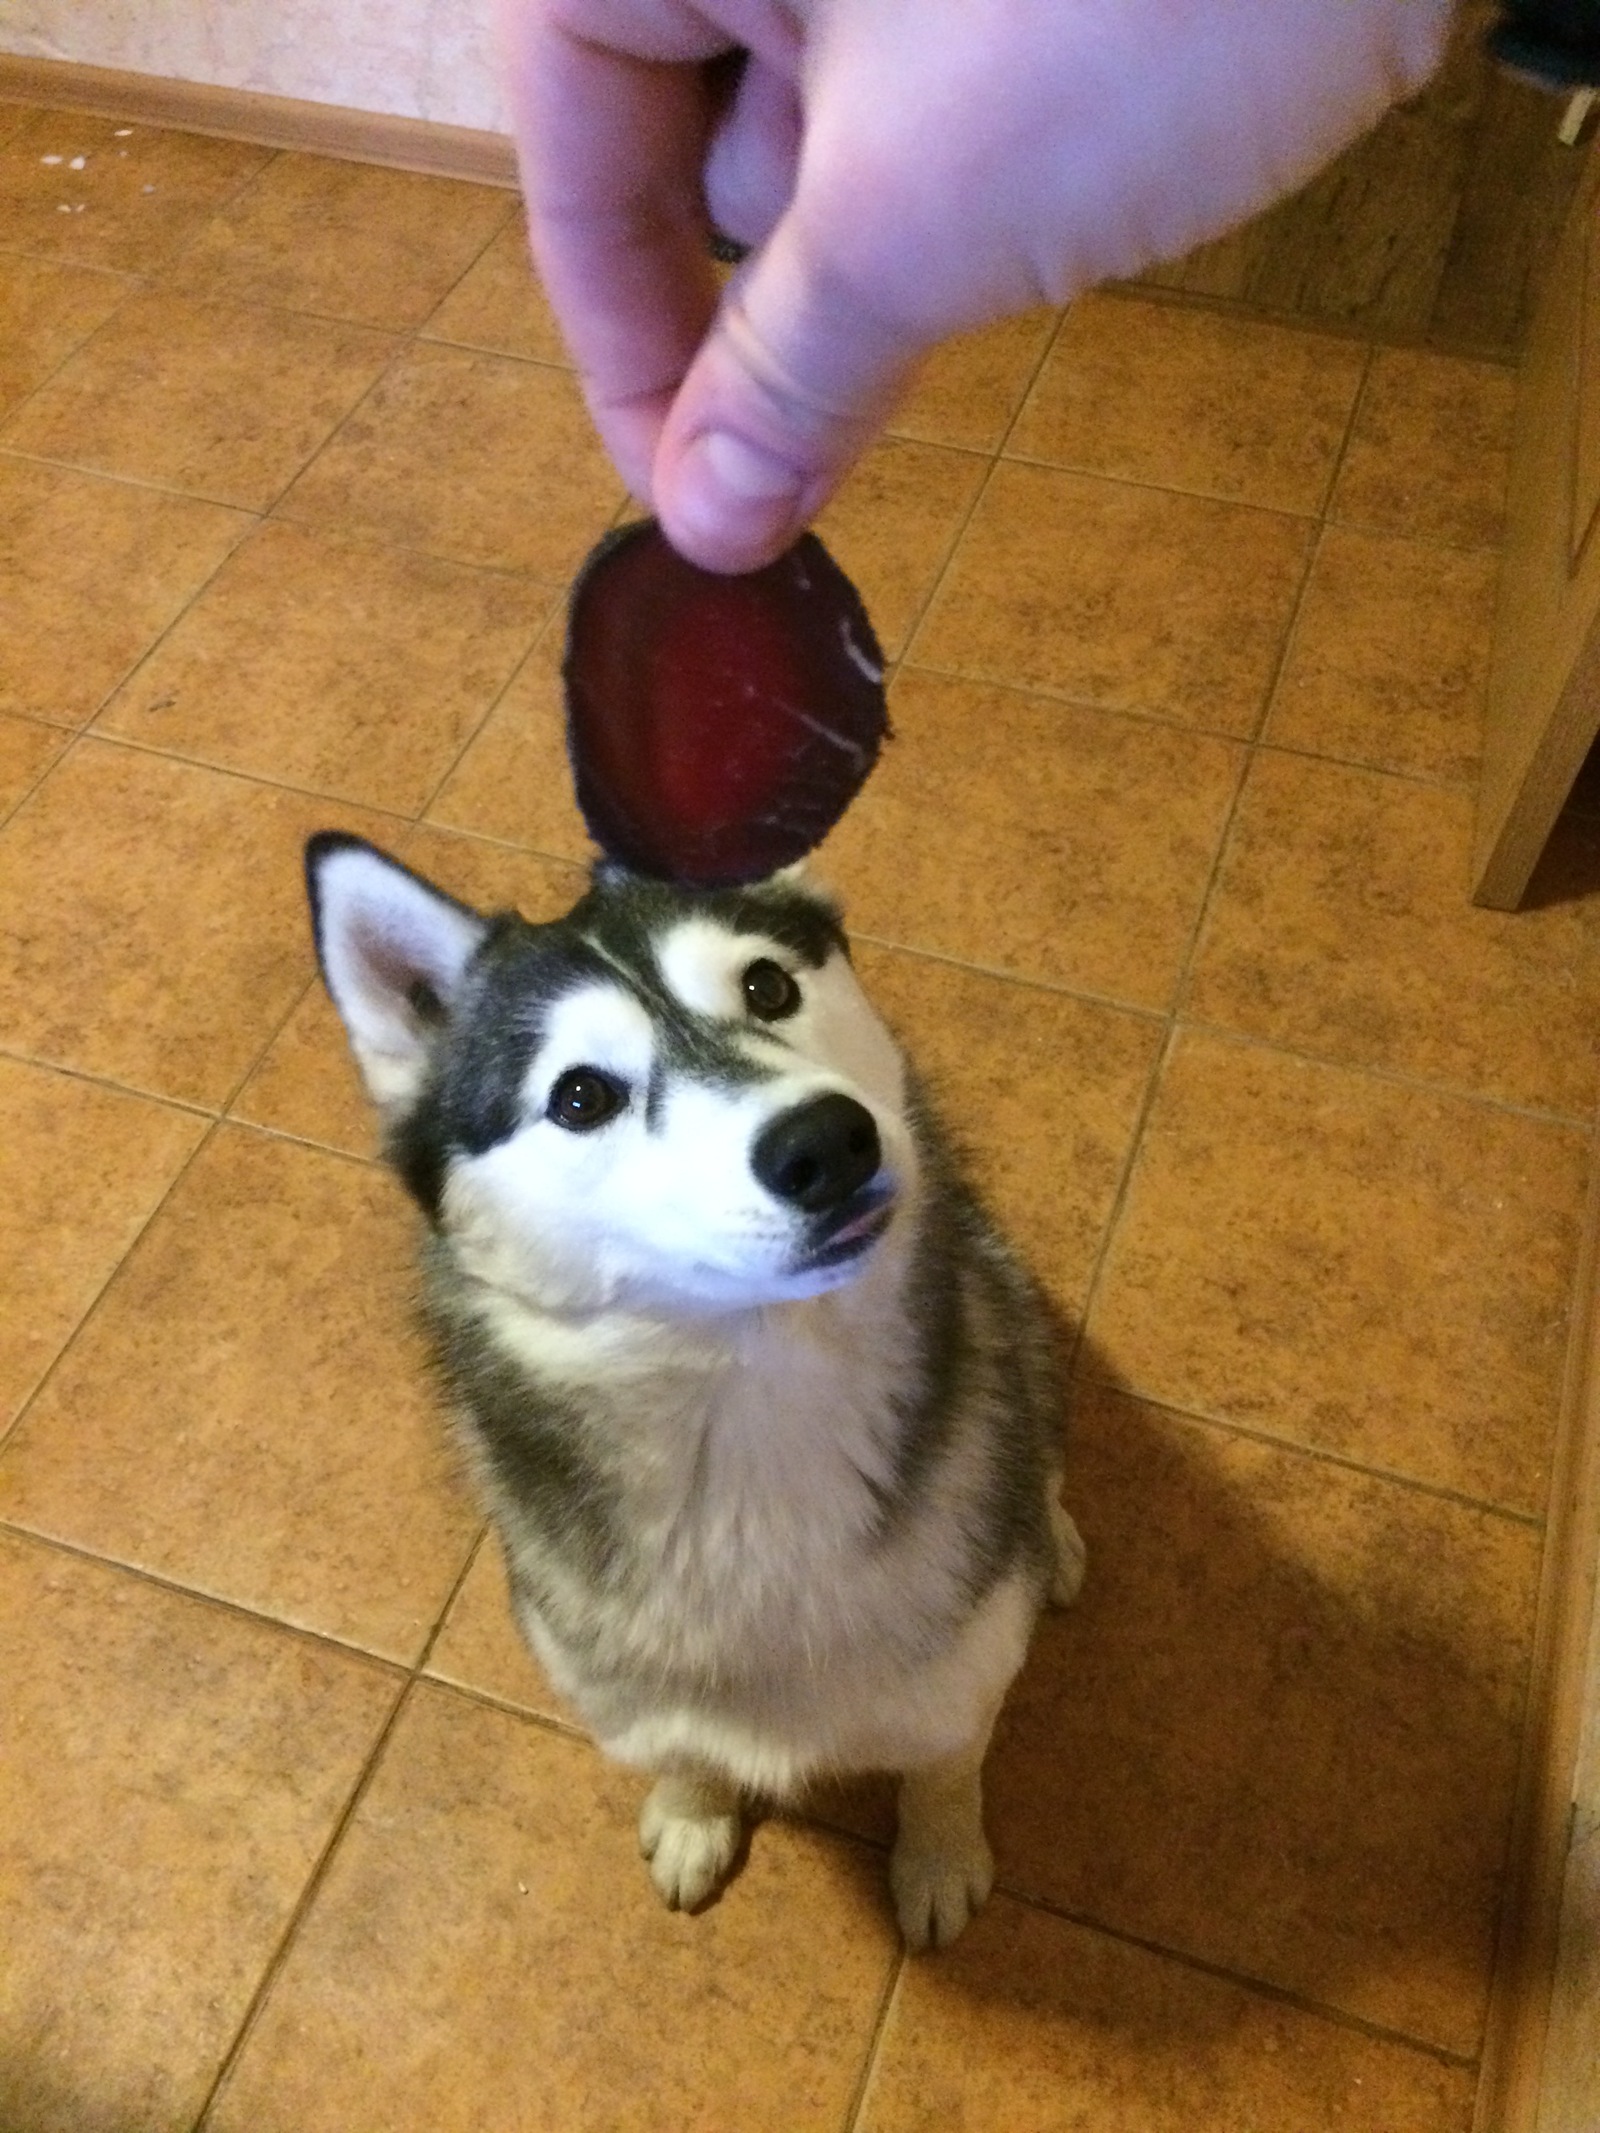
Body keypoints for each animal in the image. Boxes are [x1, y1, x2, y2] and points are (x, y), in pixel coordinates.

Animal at [307, 836, 1083, 1953]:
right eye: (580, 1097)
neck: (750, 1420)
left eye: (768, 986)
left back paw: (1053, 1534)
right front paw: (692, 1809)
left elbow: (945, 1764)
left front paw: (939, 1854)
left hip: (1012, 1294)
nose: (827, 1142)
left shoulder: (965, 1669)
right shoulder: (617, 1683)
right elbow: (684, 1747)